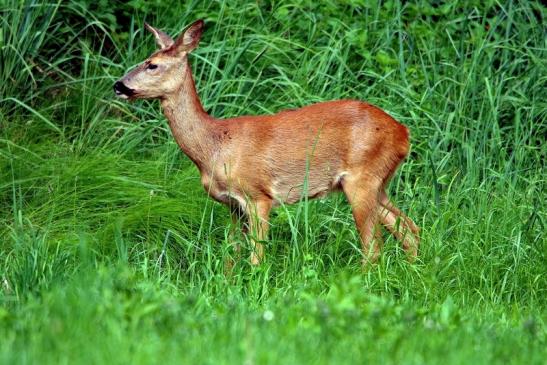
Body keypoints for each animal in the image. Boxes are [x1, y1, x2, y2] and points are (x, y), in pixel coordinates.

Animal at [114, 19, 420, 264]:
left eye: (152, 65)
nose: (118, 85)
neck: (214, 147)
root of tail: (403, 133)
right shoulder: (232, 205)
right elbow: (231, 255)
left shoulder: (258, 195)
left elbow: (256, 256)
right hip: (378, 182)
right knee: (409, 229)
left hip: (362, 177)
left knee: (374, 246)